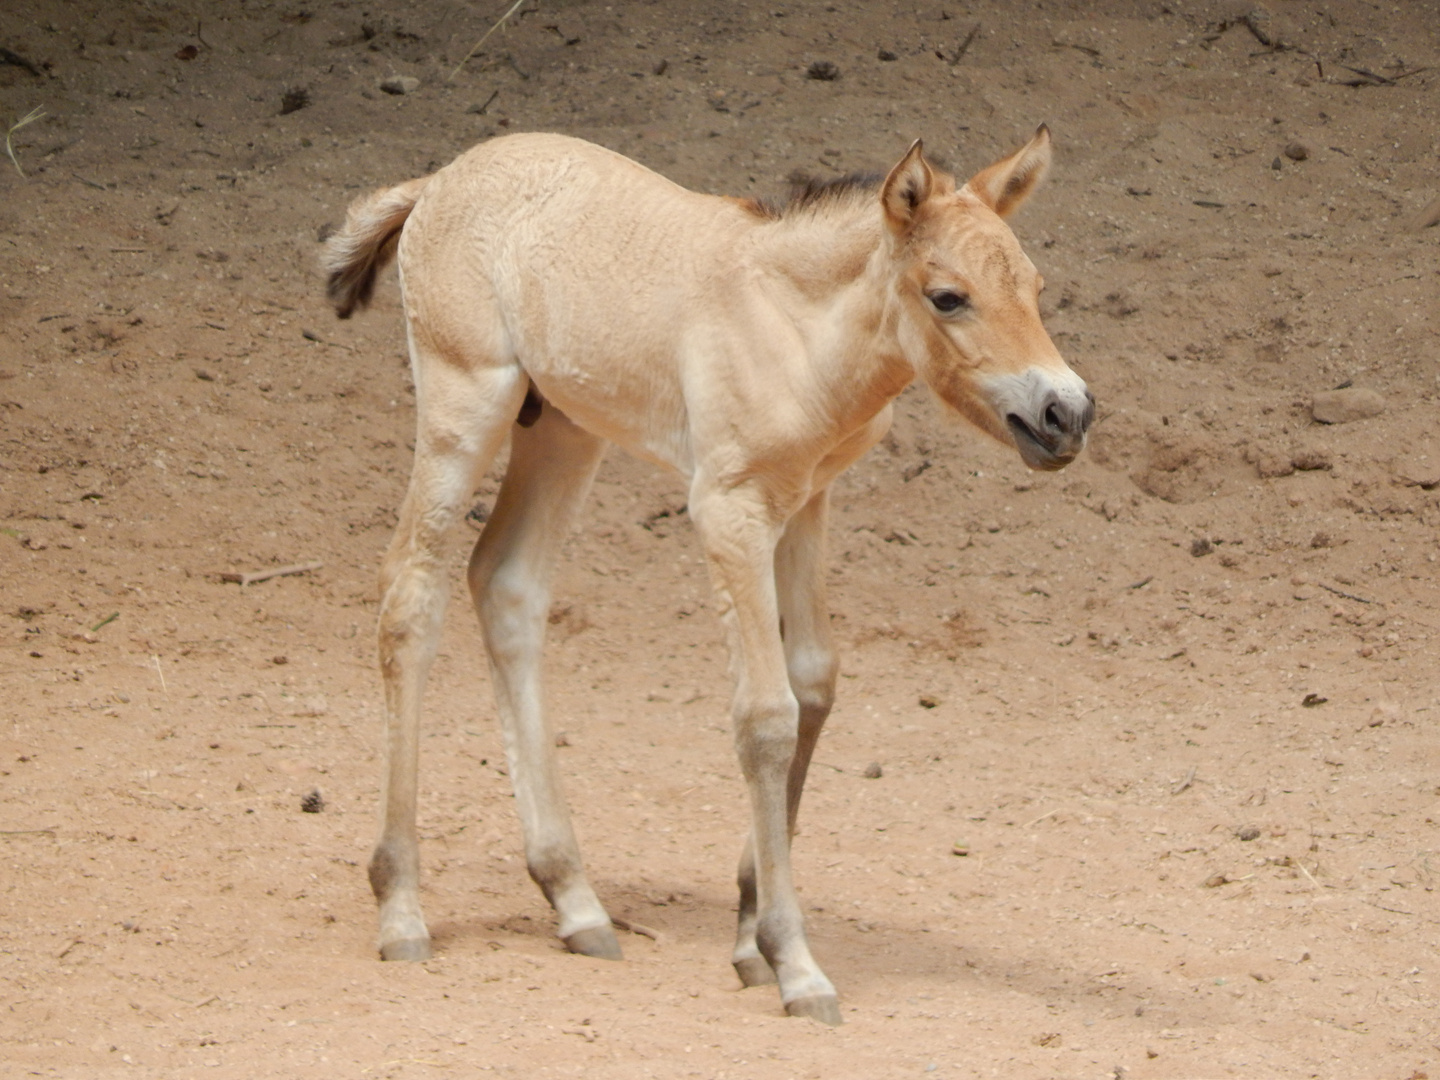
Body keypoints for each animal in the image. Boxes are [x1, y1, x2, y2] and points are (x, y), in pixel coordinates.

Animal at [324, 126, 1088, 1025]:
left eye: (1034, 288)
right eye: (948, 297)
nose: (1067, 413)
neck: (793, 328)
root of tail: (437, 181)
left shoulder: (808, 498)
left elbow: (814, 683)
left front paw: (749, 936)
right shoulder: (730, 511)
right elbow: (764, 716)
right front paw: (795, 963)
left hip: (565, 425)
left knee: (506, 585)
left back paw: (575, 900)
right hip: (464, 402)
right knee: (410, 594)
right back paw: (402, 909)